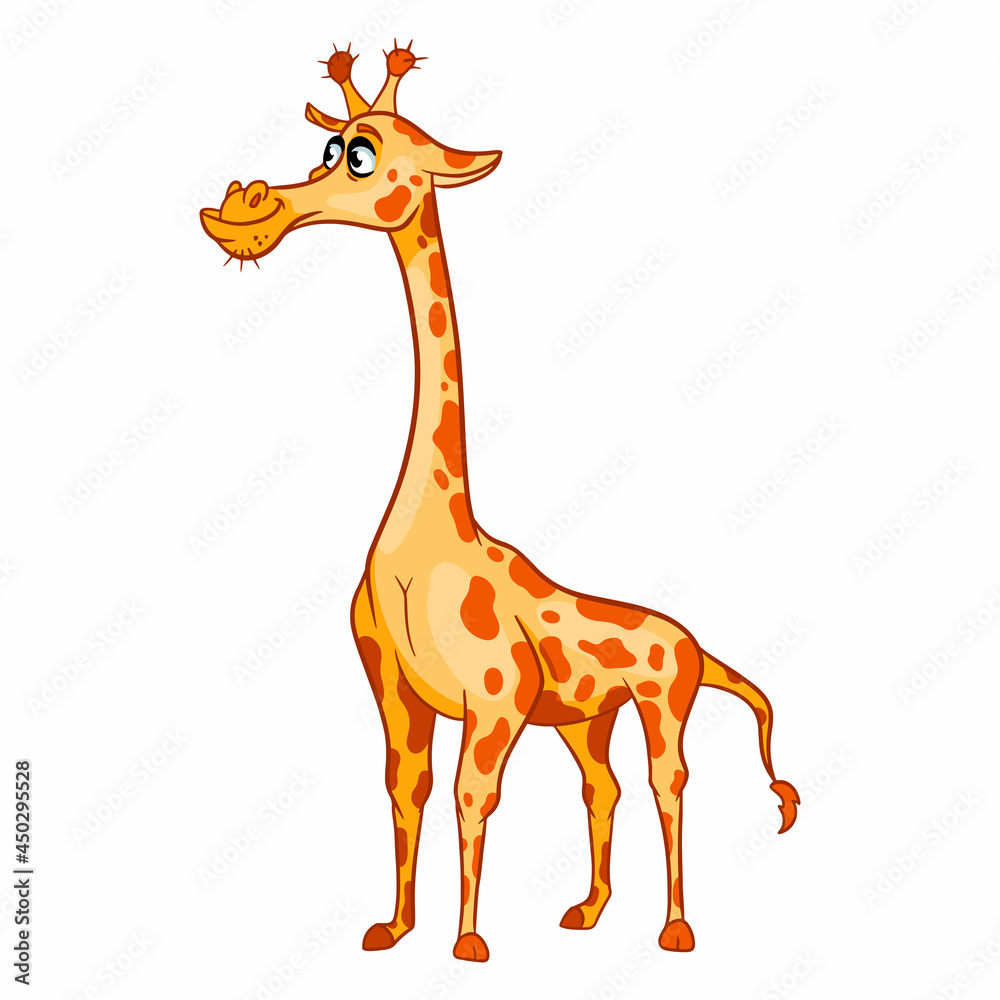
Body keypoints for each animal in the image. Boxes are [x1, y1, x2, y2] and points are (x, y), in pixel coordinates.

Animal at [201, 41, 800, 963]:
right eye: (327, 147)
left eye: (360, 156)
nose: (246, 217)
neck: (425, 536)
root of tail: (694, 644)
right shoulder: (397, 689)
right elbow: (406, 790)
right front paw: (394, 929)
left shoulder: (497, 697)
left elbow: (470, 797)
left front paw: (467, 944)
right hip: (587, 720)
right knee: (604, 787)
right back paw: (589, 912)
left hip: (665, 700)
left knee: (668, 783)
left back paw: (674, 929)